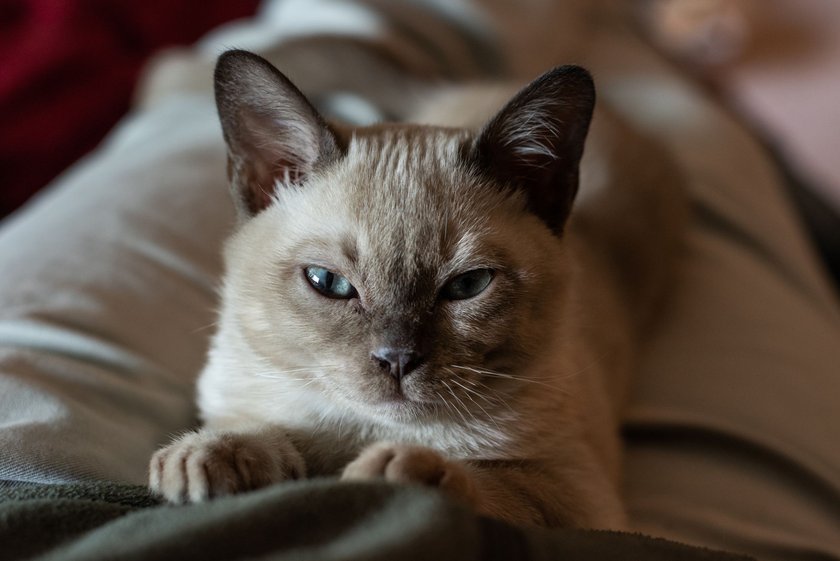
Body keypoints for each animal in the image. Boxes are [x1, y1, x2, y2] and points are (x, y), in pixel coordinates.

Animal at [149, 49, 688, 528]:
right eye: (329, 283)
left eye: (468, 285)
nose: (397, 359)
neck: (362, 434)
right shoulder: (257, 410)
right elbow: (264, 433)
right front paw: (210, 457)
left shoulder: (577, 495)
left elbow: (490, 483)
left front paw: (391, 472)